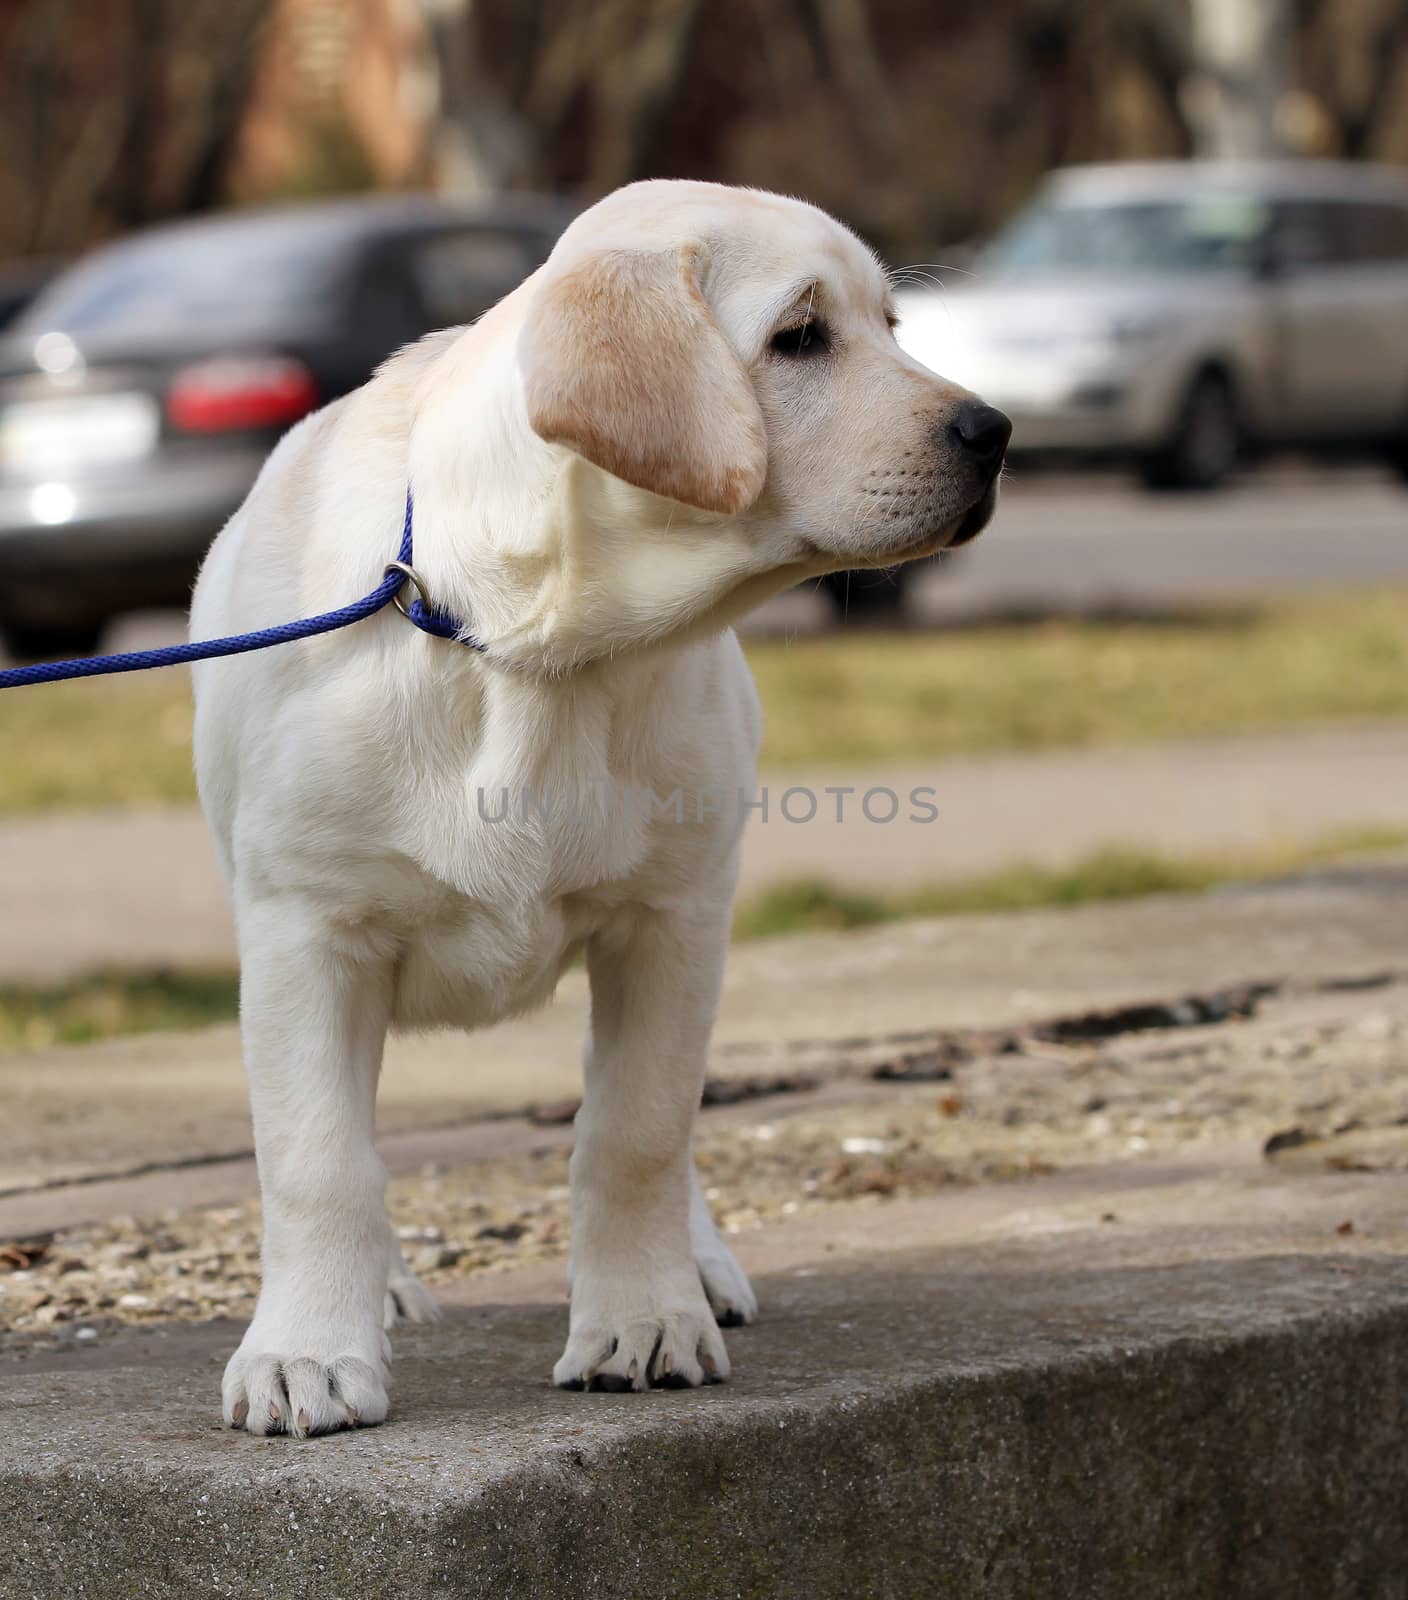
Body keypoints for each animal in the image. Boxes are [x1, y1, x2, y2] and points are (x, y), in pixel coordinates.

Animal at [192, 178, 1011, 1440]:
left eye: (890, 327)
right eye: (800, 336)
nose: (996, 433)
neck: (537, 647)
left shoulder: (670, 922)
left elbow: (636, 1132)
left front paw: (644, 1318)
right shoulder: (305, 932)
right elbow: (318, 1156)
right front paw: (307, 1351)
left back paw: (699, 1263)